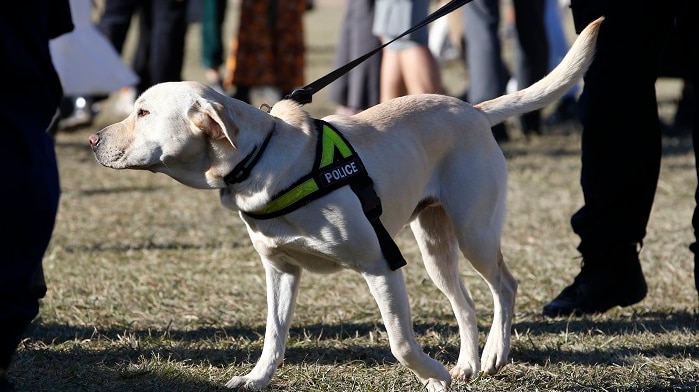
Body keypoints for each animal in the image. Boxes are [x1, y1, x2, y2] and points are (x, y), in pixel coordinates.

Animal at [87, 19, 600, 392]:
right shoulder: (280, 270)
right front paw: (256, 379)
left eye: (144, 113)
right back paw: (467, 365)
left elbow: (400, 343)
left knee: (504, 286)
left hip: (473, 230)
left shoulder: (381, 264)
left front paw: (432, 376)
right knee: (467, 303)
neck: (260, 161)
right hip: (435, 243)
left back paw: (492, 355)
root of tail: (472, 109)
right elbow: (273, 334)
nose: (92, 140)